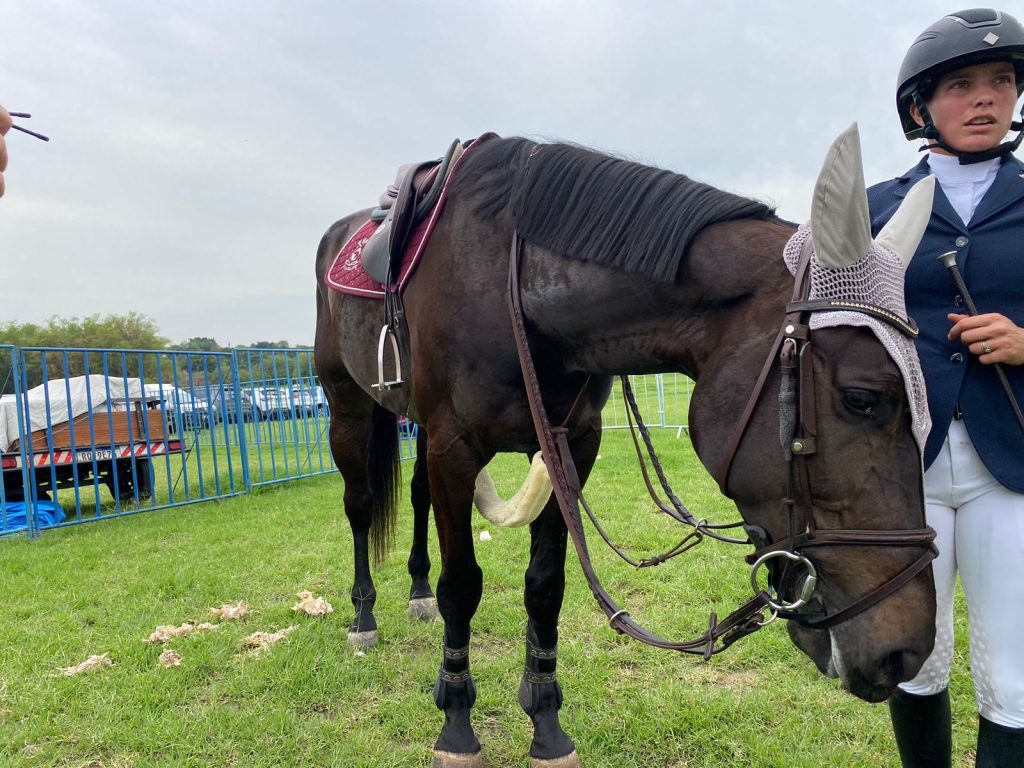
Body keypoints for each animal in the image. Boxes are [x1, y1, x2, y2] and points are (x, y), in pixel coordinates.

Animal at [313, 124, 939, 767]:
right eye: (862, 398)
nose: (906, 650)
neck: (513, 284)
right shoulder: (454, 448)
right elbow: (462, 585)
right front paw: (457, 727)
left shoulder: (568, 446)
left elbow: (545, 586)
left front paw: (546, 723)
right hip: (349, 406)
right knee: (360, 506)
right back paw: (363, 614)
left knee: (416, 498)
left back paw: (415, 591)